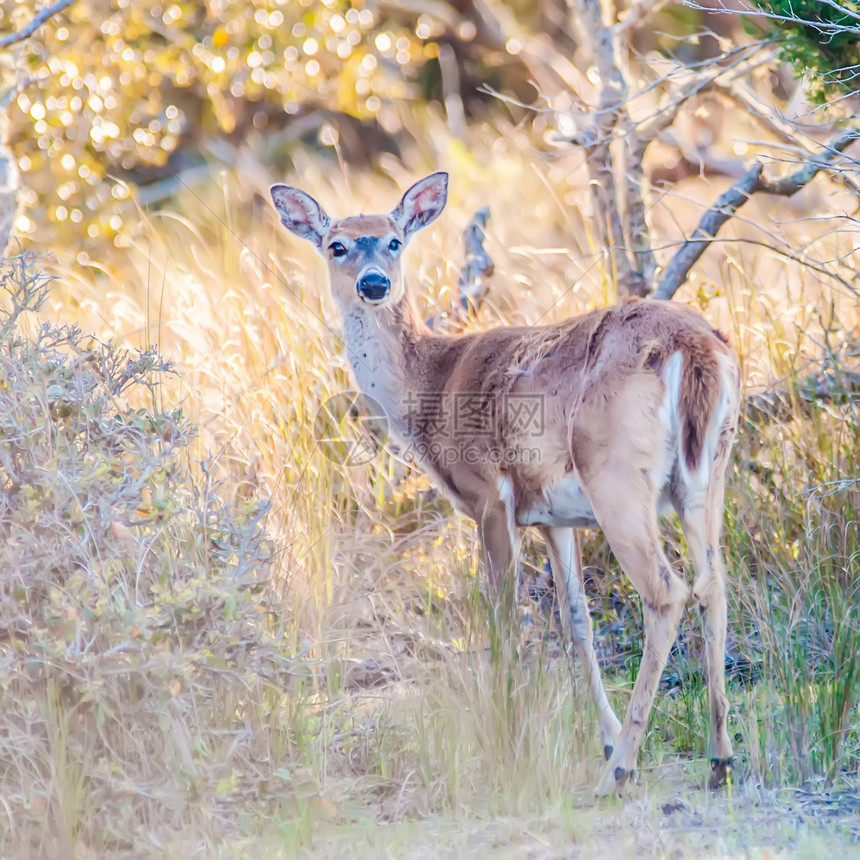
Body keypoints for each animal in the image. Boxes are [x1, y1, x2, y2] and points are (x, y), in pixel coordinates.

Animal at [272, 171, 744, 796]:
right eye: (337, 245)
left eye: (394, 240)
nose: (374, 283)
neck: (431, 386)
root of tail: (694, 347)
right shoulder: (554, 517)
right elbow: (576, 622)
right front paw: (602, 734)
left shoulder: (488, 495)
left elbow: (502, 617)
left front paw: (509, 737)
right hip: (707, 474)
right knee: (713, 583)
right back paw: (718, 759)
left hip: (616, 473)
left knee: (667, 590)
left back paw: (619, 772)